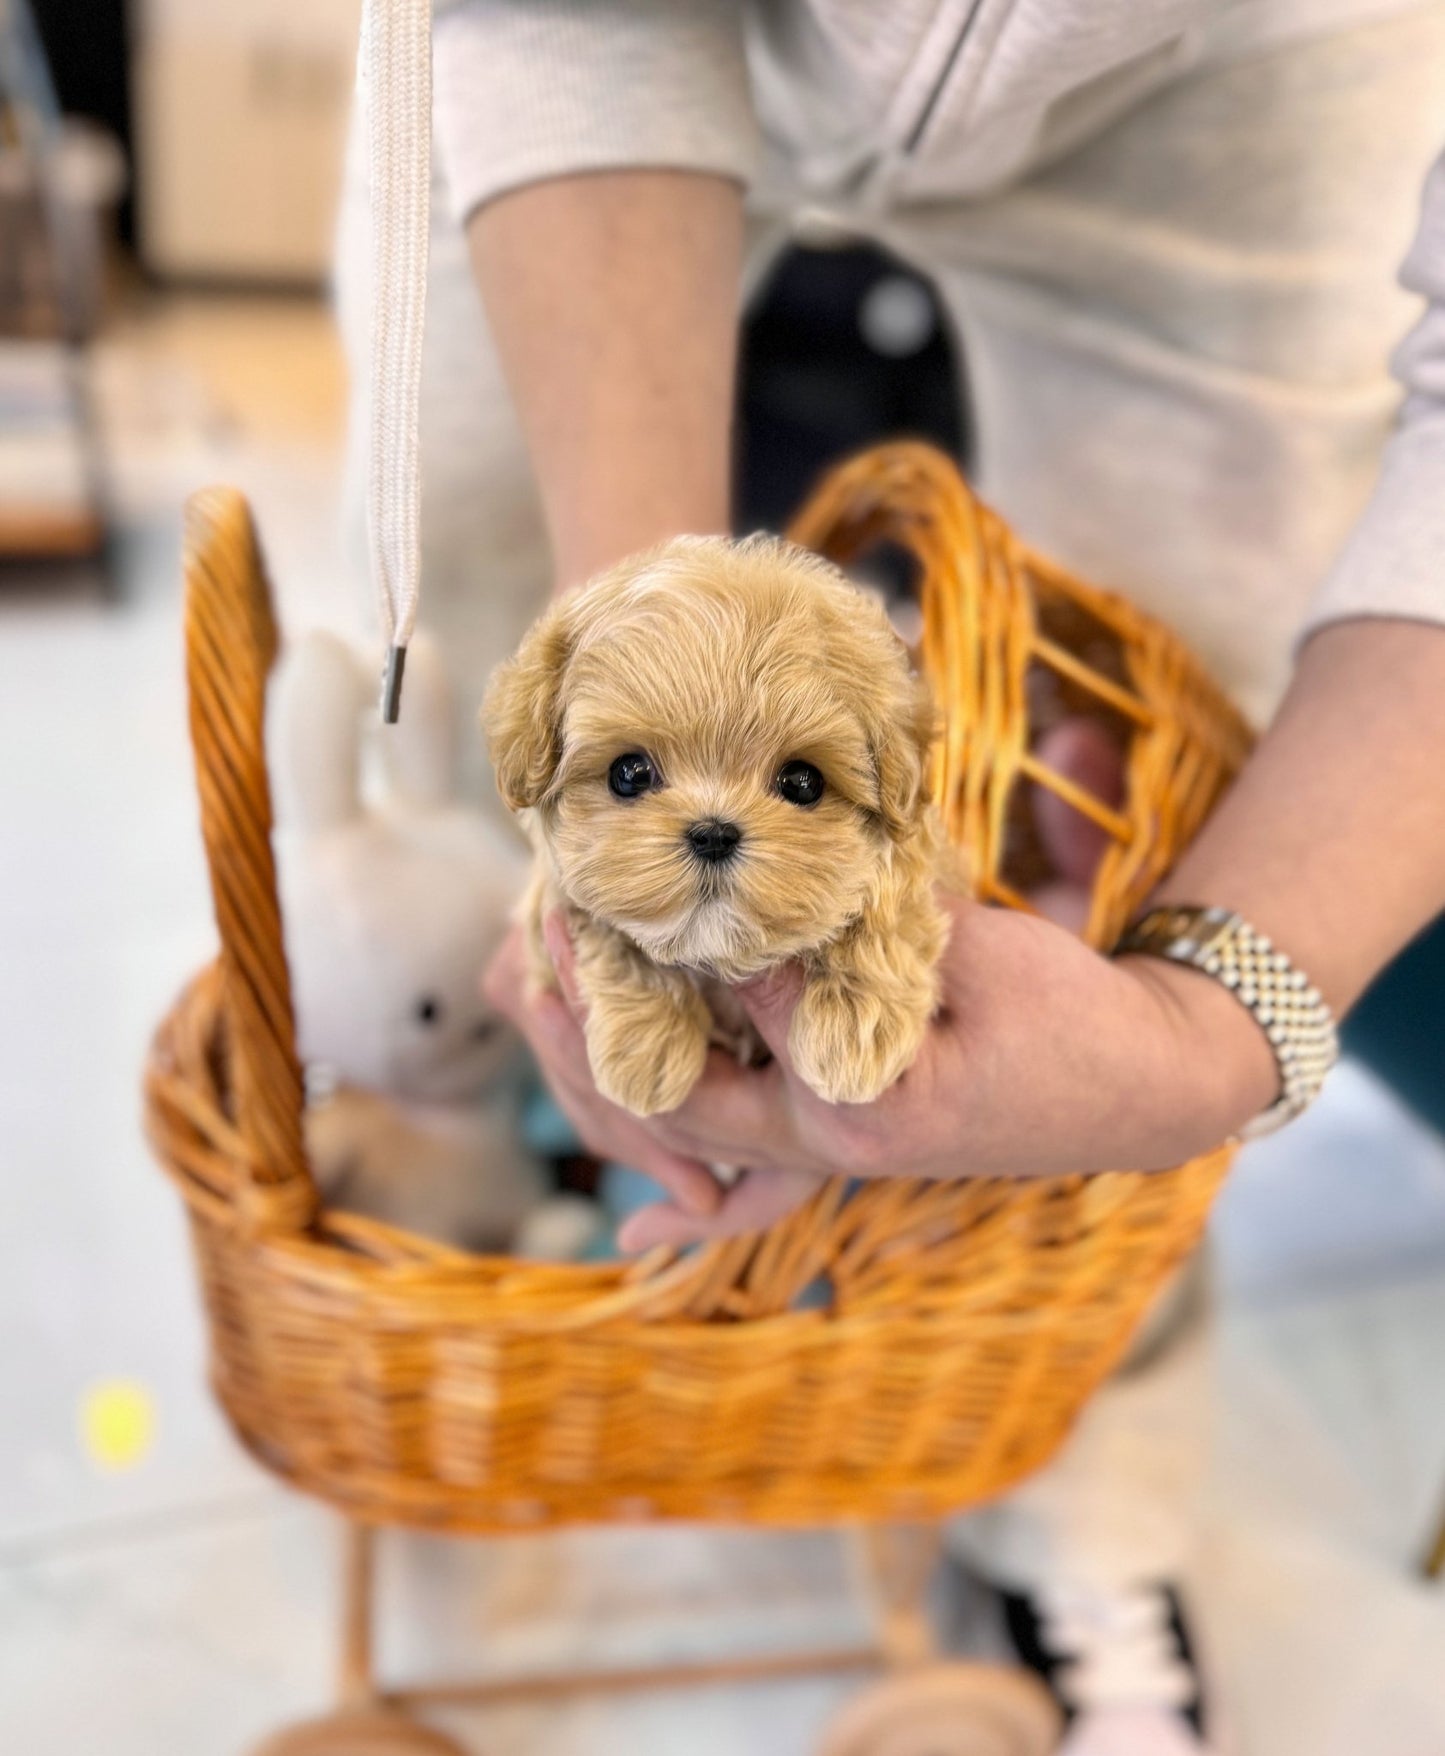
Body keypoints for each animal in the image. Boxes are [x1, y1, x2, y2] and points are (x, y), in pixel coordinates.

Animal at [484, 526, 955, 1116]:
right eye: (629, 773)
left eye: (802, 782)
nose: (713, 834)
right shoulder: (549, 904)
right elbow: (608, 929)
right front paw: (648, 1049)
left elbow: (891, 901)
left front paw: (855, 1031)